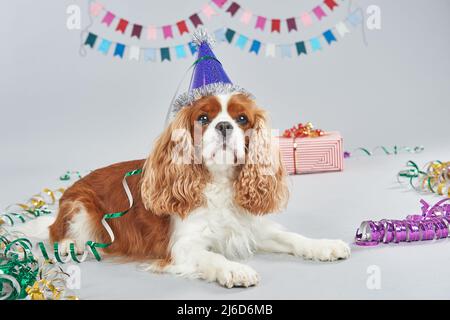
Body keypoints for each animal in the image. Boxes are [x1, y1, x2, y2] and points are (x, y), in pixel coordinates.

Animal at [47, 92, 350, 288]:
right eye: (204, 118)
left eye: (242, 119)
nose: (224, 126)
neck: (220, 181)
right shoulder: (183, 247)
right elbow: (212, 256)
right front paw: (236, 269)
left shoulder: (252, 229)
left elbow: (292, 238)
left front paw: (324, 245)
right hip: (80, 208)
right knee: (58, 237)